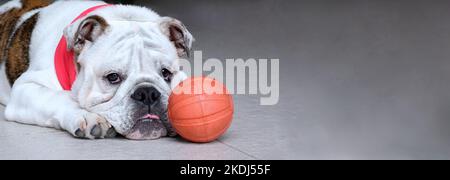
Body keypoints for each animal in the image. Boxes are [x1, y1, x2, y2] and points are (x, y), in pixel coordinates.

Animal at [0, 0, 193, 140]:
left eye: (166, 73)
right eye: (113, 77)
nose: (147, 93)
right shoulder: (26, 87)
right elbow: (58, 97)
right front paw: (87, 116)